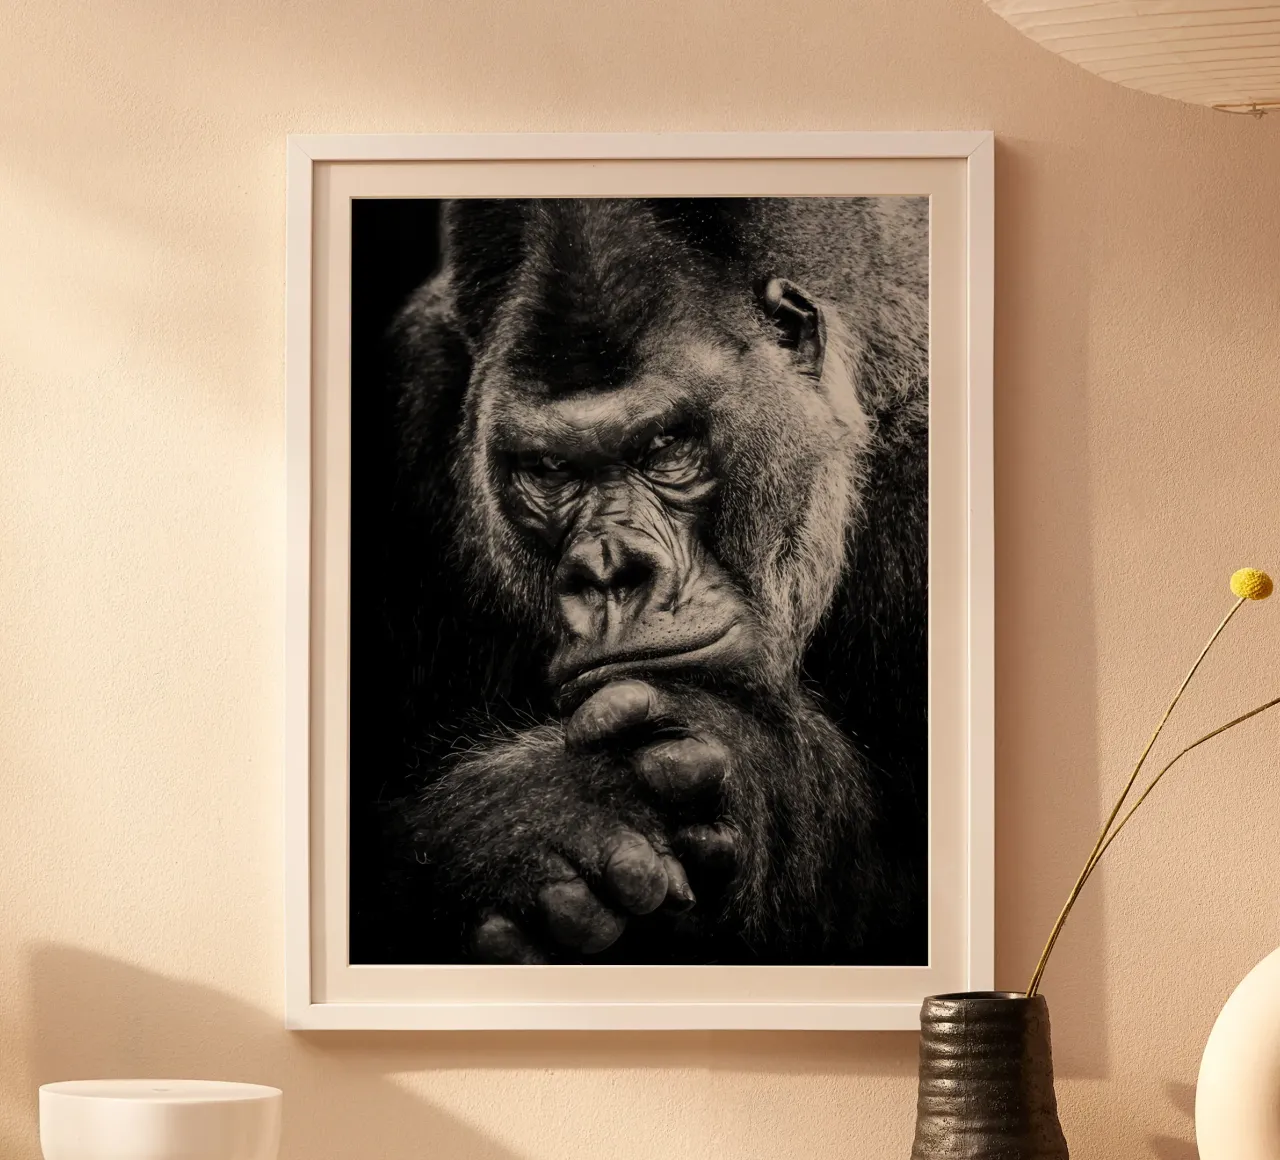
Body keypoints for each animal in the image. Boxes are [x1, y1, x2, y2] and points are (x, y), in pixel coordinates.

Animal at [360, 196, 929, 966]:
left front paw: (748, 767)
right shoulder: (413, 397)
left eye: (664, 446)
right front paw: (528, 823)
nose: (609, 571)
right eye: (550, 468)